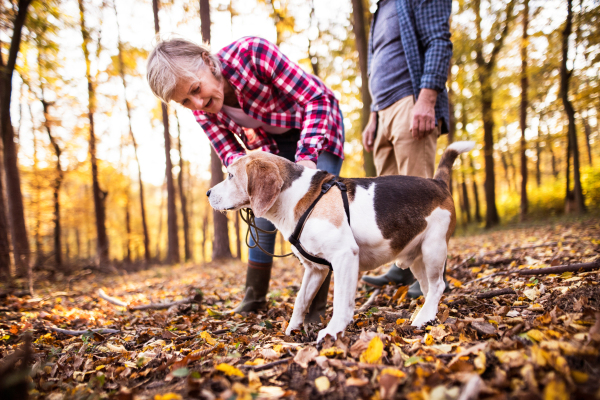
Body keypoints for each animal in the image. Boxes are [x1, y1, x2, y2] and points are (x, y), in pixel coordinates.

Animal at [209, 141, 476, 340]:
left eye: (231, 175)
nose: (208, 193)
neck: (297, 197)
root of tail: (437, 182)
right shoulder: (314, 269)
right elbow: (300, 301)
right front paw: (292, 329)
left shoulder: (345, 257)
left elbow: (340, 302)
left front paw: (333, 330)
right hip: (417, 259)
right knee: (430, 289)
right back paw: (427, 314)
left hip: (433, 249)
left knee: (438, 286)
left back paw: (422, 317)